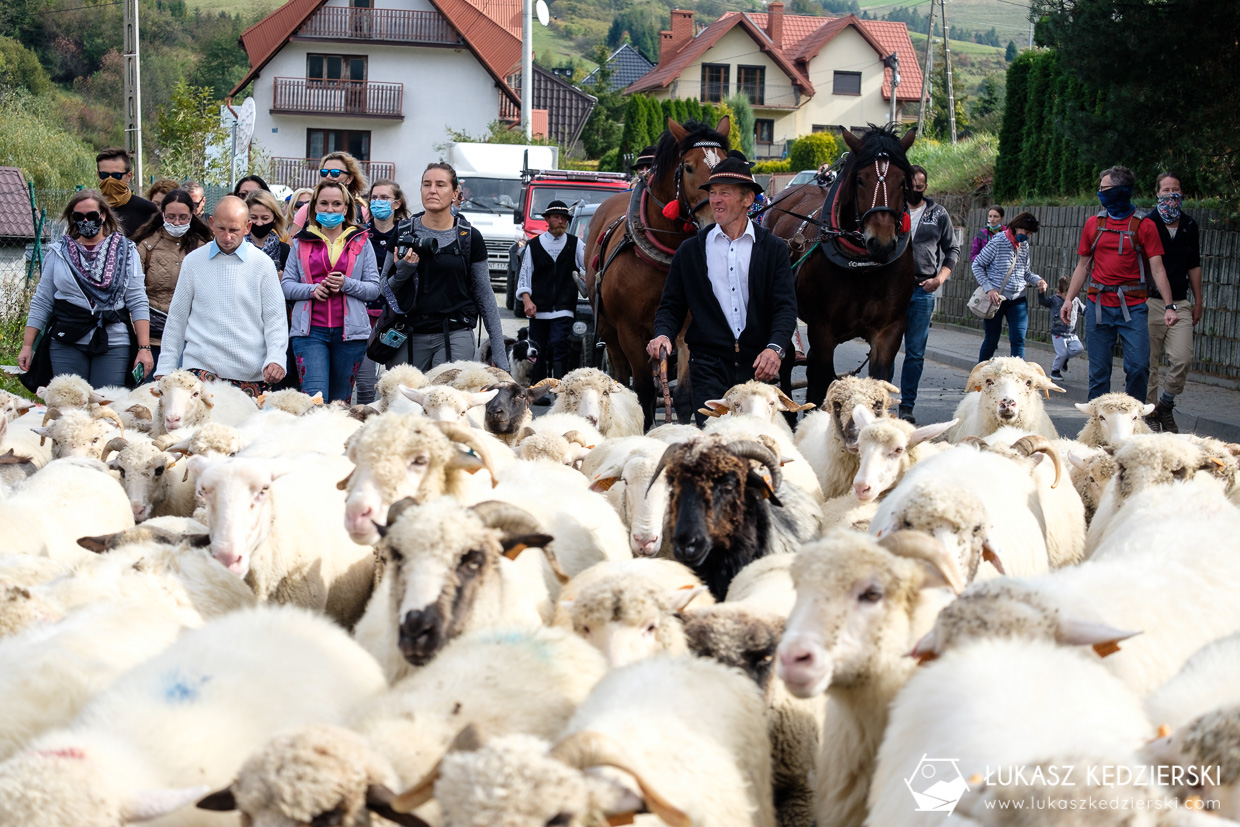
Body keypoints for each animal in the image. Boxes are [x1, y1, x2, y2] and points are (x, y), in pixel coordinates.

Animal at [587, 116, 729, 426]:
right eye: (688, 167)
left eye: (724, 164)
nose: (716, 220)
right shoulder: (629, 331)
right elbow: (643, 392)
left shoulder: (686, 331)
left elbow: (685, 396)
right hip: (608, 329)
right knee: (621, 375)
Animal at [768, 122, 917, 406]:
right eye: (860, 179)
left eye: (902, 181)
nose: (881, 243)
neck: (863, 269)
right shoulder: (822, 329)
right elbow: (822, 383)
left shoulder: (890, 329)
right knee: (789, 359)